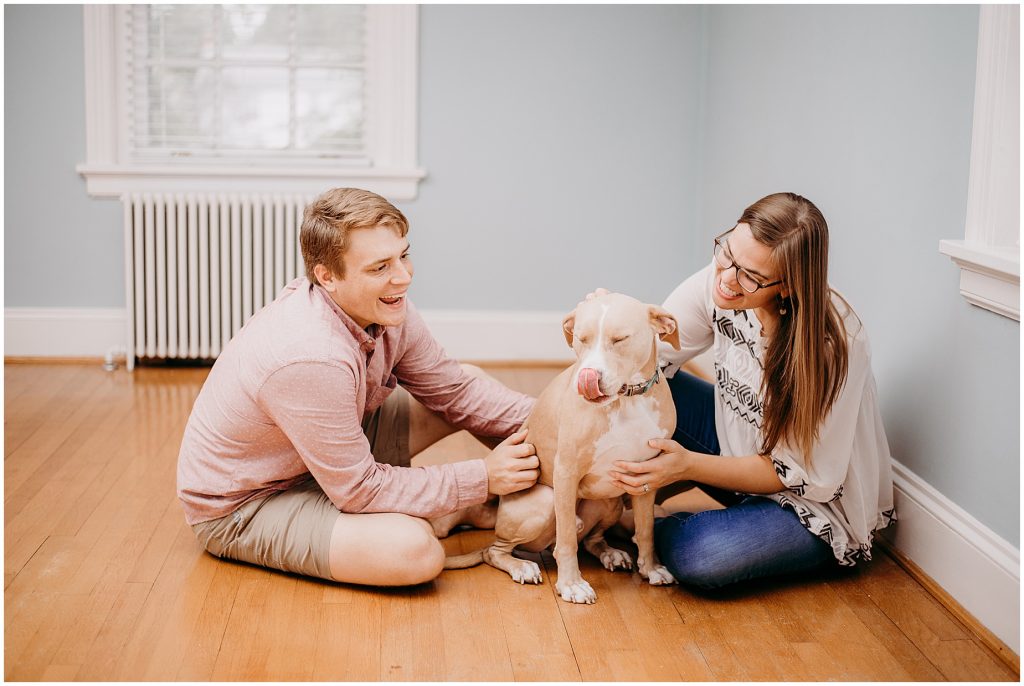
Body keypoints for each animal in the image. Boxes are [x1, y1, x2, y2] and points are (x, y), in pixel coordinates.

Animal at [446, 292, 679, 606]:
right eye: (581, 338)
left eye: (620, 339)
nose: (588, 376)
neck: (627, 400)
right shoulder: (566, 471)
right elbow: (567, 539)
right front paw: (571, 584)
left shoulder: (645, 476)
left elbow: (646, 530)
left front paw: (651, 568)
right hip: (544, 501)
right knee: (496, 550)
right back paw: (520, 566)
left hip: (611, 501)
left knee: (591, 539)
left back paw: (610, 553)